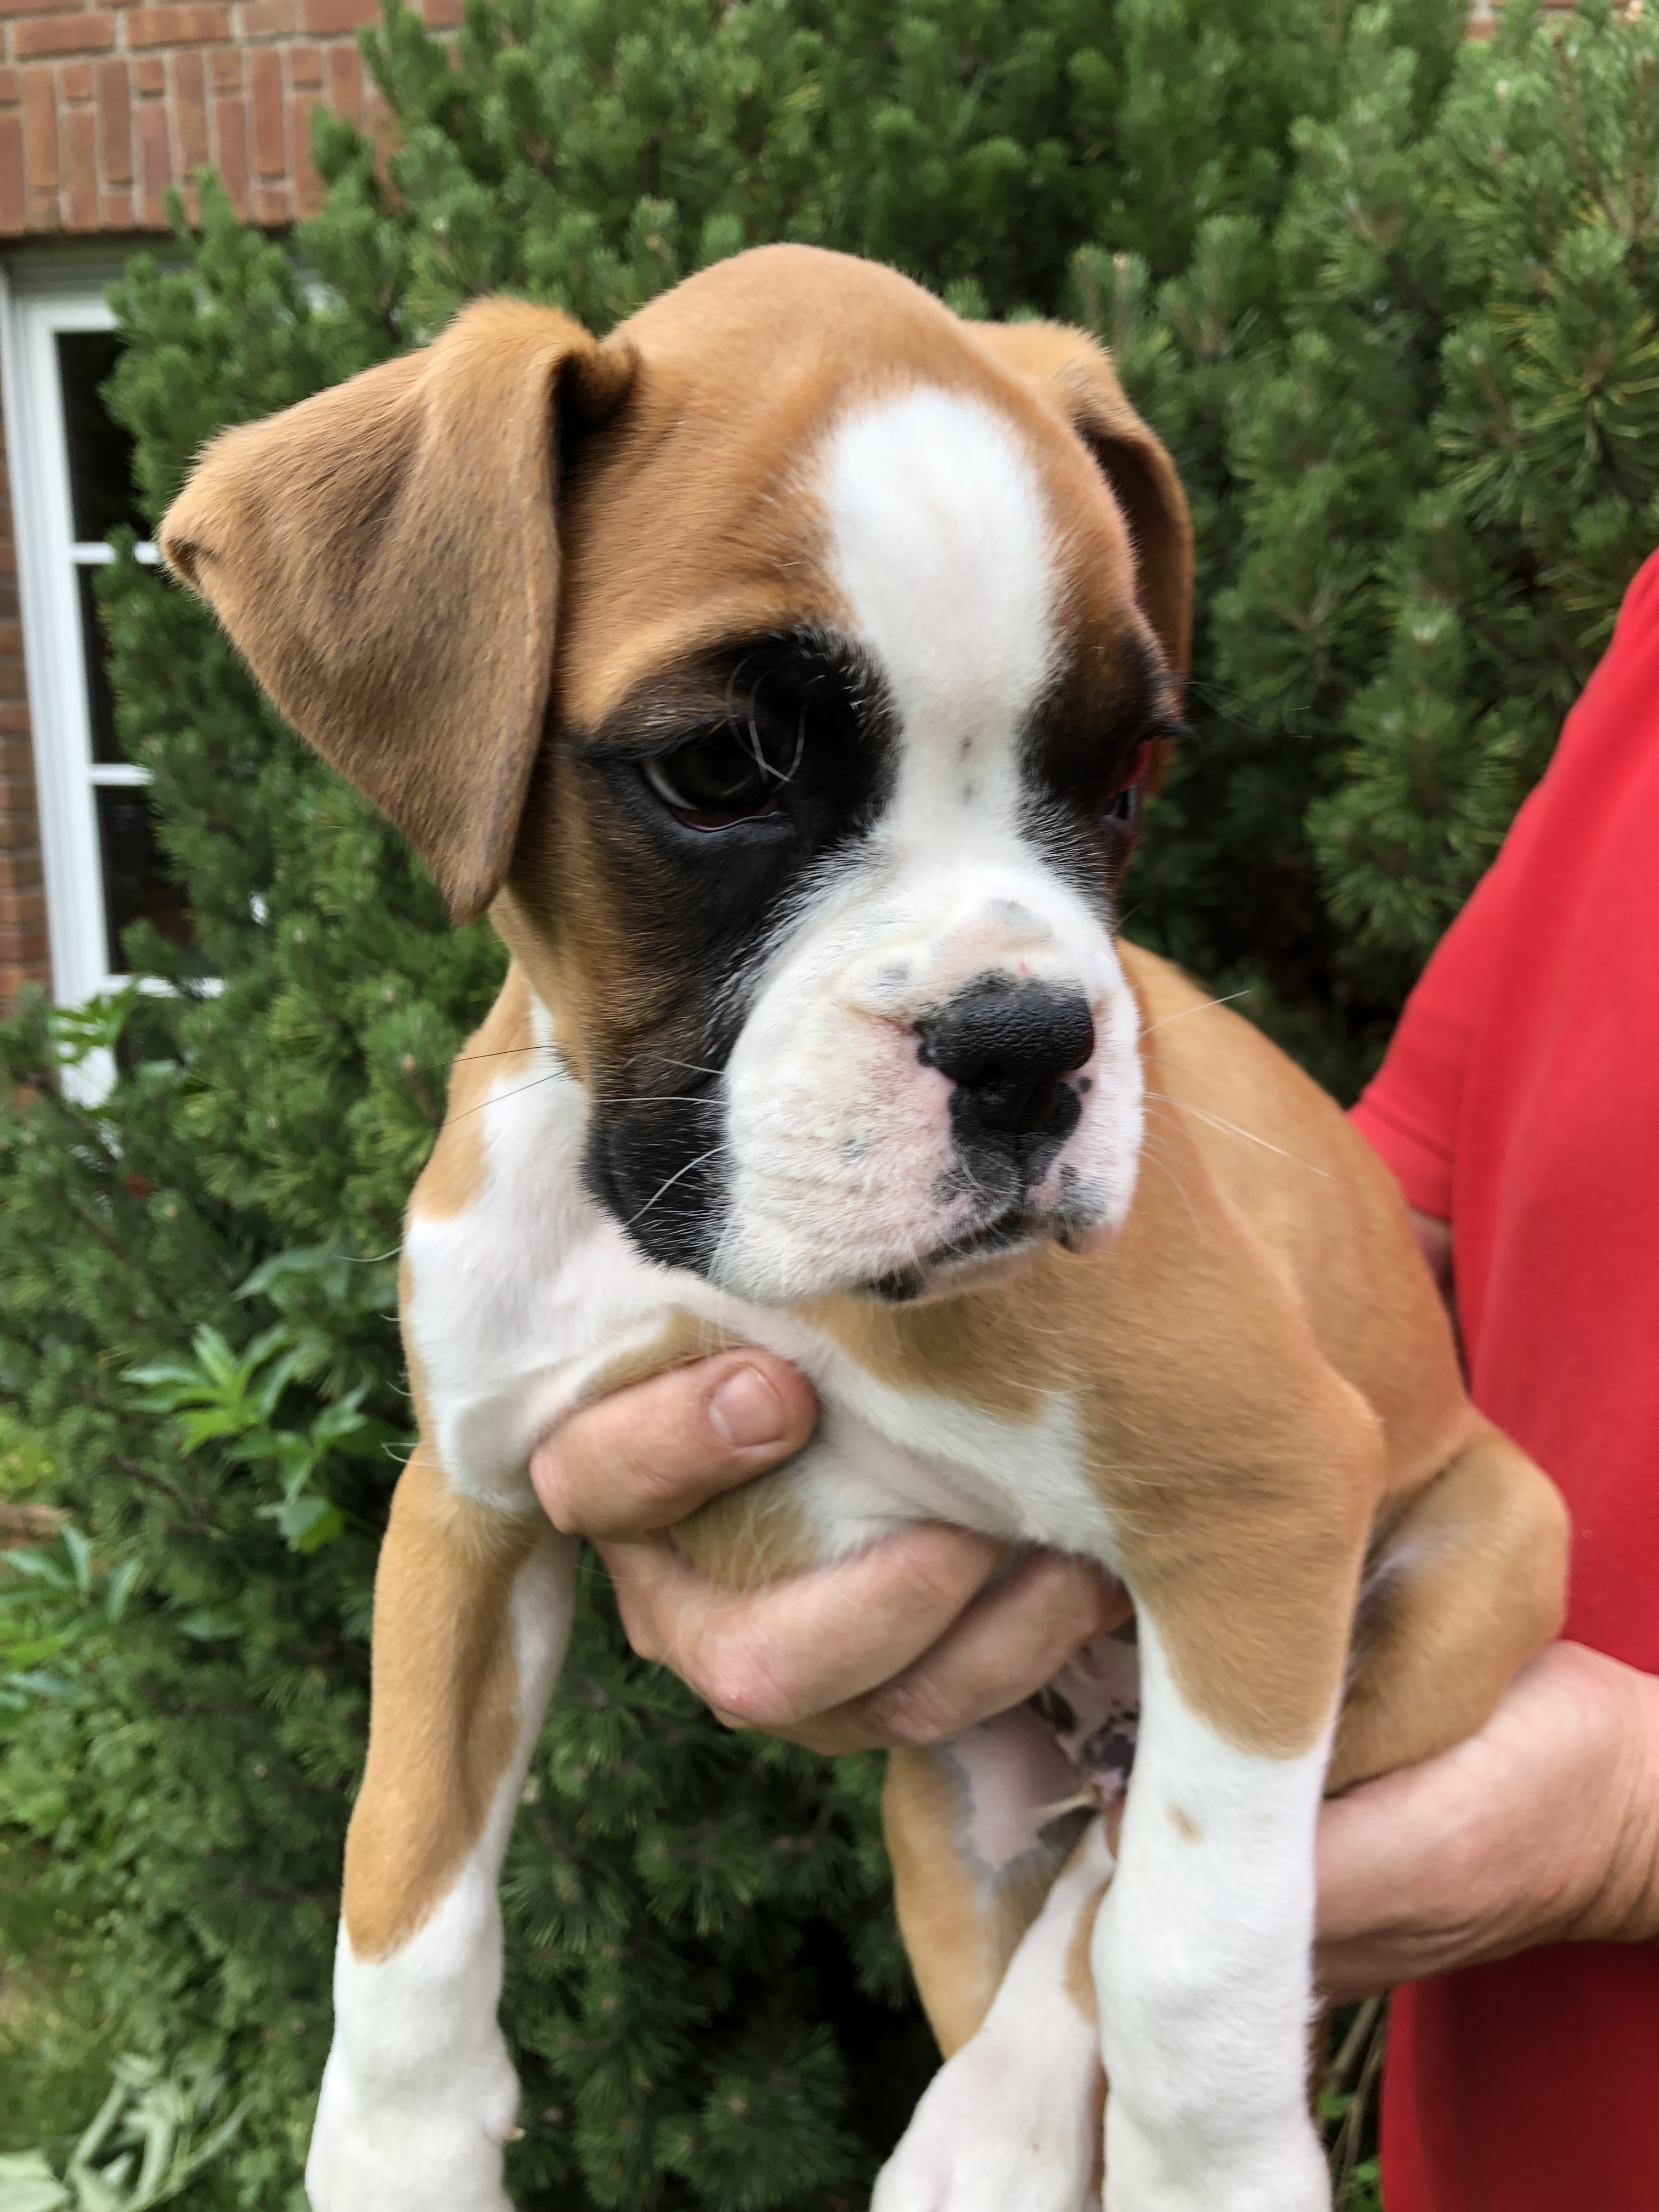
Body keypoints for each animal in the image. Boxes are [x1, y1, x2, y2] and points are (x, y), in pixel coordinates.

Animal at [160, 244, 1568, 2212]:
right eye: (721, 769)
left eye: (1123, 774)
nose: (1029, 1047)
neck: (683, 1247)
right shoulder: (473, 1505)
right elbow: (406, 1858)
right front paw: (396, 2149)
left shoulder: (1268, 1499)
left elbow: (1190, 1957)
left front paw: (1217, 2165)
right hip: (951, 1815)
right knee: (1071, 1872)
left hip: (1449, 1590)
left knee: (1128, 1878)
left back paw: (987, 2130)